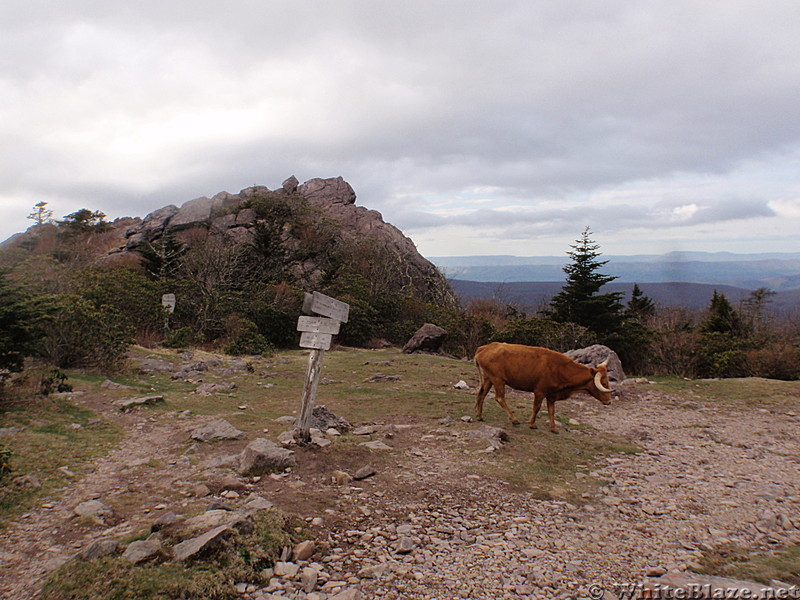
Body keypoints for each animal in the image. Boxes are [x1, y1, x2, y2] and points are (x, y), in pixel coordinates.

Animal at [476, 342, 612, 432]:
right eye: (604, 383)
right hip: (498, 380)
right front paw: (532, 424)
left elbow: (551, 410)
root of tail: (486, 347)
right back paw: (514, 419)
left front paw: (553, 427)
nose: (609, 401)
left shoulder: (551, 395)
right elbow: (536, 408)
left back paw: (480, 416)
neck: (561, 369)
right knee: (499, 398)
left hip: (489, 379)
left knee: (481, 394)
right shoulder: (539, 391)